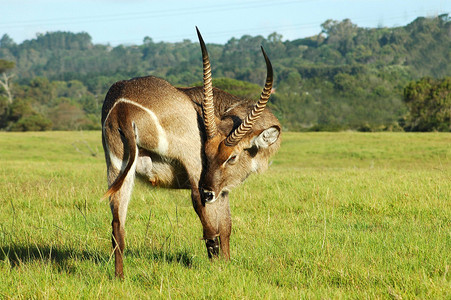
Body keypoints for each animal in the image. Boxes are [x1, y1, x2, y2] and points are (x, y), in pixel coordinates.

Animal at [100, 28, 280, 276]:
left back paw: (119, 277)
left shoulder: (220, 189)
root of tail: (123, 106)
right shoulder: (218, 187)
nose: (209, 193)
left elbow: (226, 225)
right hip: (189, 159)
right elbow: (224, 227)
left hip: (117, 166)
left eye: (231, 157)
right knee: (199, 206)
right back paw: (212, 254)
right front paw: (225, 265)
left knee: (117, 226)